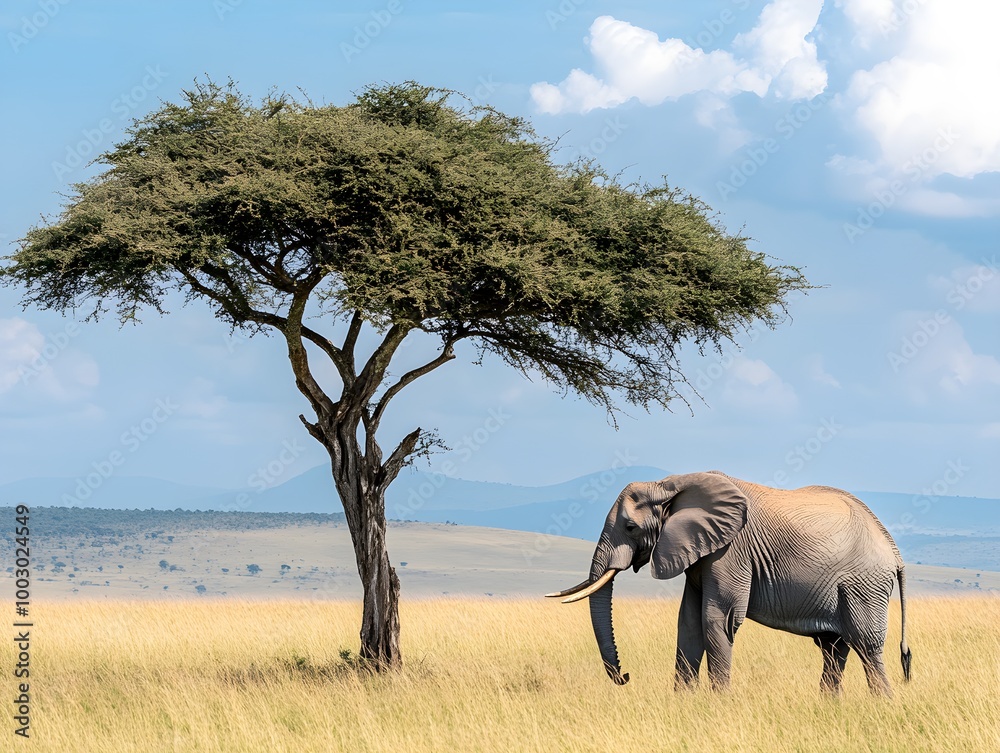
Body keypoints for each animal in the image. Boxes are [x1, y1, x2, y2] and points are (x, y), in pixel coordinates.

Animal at [547, 471, 912, 695]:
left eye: (630, 527)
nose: (625, 677)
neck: (670, 484)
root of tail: (893, 549)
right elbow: (688, 622)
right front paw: (682, 704)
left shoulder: (730, 550)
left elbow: (716, 619)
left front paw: (718, 703)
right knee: (833, 648)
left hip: (864, 585)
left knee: (866, 645)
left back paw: (883, 705)